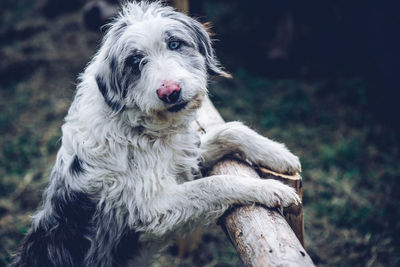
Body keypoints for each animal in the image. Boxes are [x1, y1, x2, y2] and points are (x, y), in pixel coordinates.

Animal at [10, 1, 302, 266]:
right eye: (135, 61)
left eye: (174, 44)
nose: (170, 91)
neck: (139, 127)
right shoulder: (151, 207)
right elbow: (215, 184)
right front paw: (270, 189)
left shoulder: (183, 152)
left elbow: (229, 130)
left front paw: (280, 155)